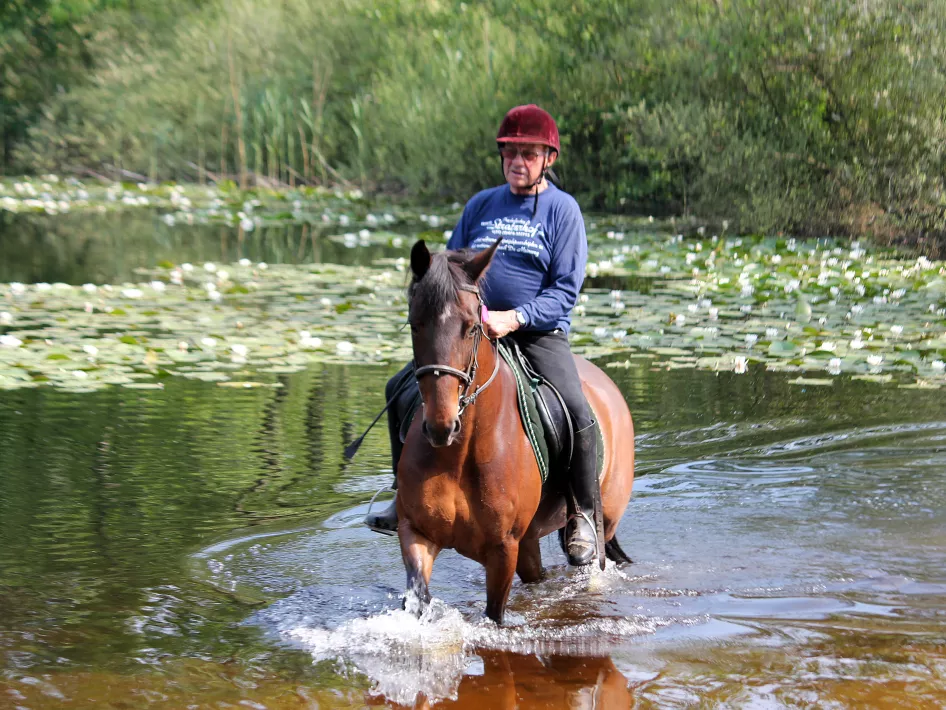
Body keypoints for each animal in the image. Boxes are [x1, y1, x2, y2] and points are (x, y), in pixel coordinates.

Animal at [397, 238, 635, 624]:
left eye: (471, 327)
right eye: (415, 324)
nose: (441, 425)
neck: (460, 454)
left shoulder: (503, 549)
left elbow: (495, 615)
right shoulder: (415, 532)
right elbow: (417, 599)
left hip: (603, 519)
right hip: (529, 541)